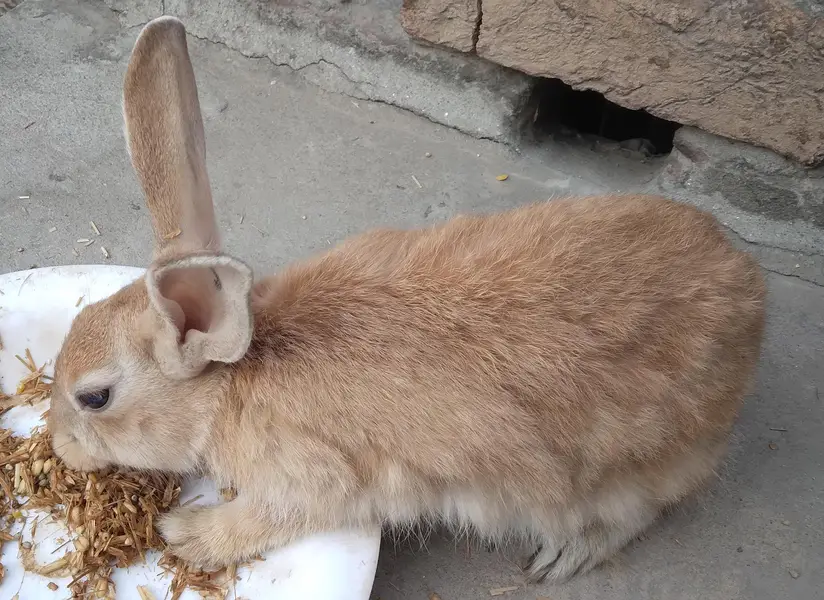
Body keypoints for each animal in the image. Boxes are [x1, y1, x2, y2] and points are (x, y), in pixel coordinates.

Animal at [48, 16, 766, 583]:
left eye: (95, 397)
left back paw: (564, 556)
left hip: (622, 472)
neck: (231, 386)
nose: (60, 448)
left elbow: (277, 513)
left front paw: (185, 535)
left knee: (636, 509)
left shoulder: (321, 477)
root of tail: (750, 295)